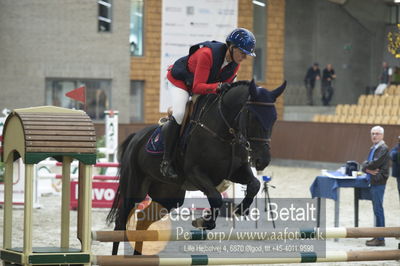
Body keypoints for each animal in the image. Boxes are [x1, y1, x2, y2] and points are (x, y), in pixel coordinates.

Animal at [106, 80, 284, 255]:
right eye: (253, 117)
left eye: (274, 118)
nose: (263, 161)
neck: (225, 132)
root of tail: (136, 137)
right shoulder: (195, 173)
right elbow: (216, 197)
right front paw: (203, 221)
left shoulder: (236, 171)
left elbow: (255, 184)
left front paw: (240, 210)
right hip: (134, 190)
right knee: (120, 223)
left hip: (168, 197)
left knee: (143, 222)